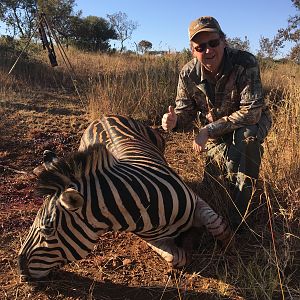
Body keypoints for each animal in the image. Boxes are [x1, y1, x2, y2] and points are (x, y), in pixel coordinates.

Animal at [18, 115, 234, 282]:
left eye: (47, 229)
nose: (20, 269)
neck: (144, 204)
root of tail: (102, 117)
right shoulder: (151, 239)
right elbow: (175, 258)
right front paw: (189, 243)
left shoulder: (195, 200)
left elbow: (217, 224)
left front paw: (226, 247)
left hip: (158, 143)